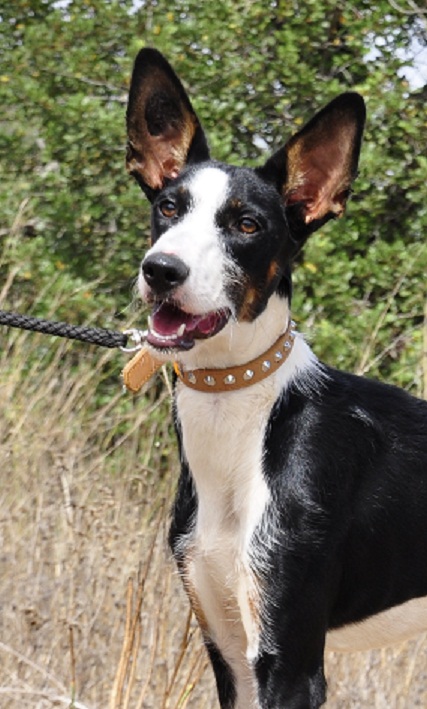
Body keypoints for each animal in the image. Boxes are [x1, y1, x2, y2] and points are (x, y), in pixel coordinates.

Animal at [125, 48, 427, 708]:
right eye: (167, 207)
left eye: (247, 225)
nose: (161, 270)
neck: (241, 420)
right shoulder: (229, 653)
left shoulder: (289, 662)